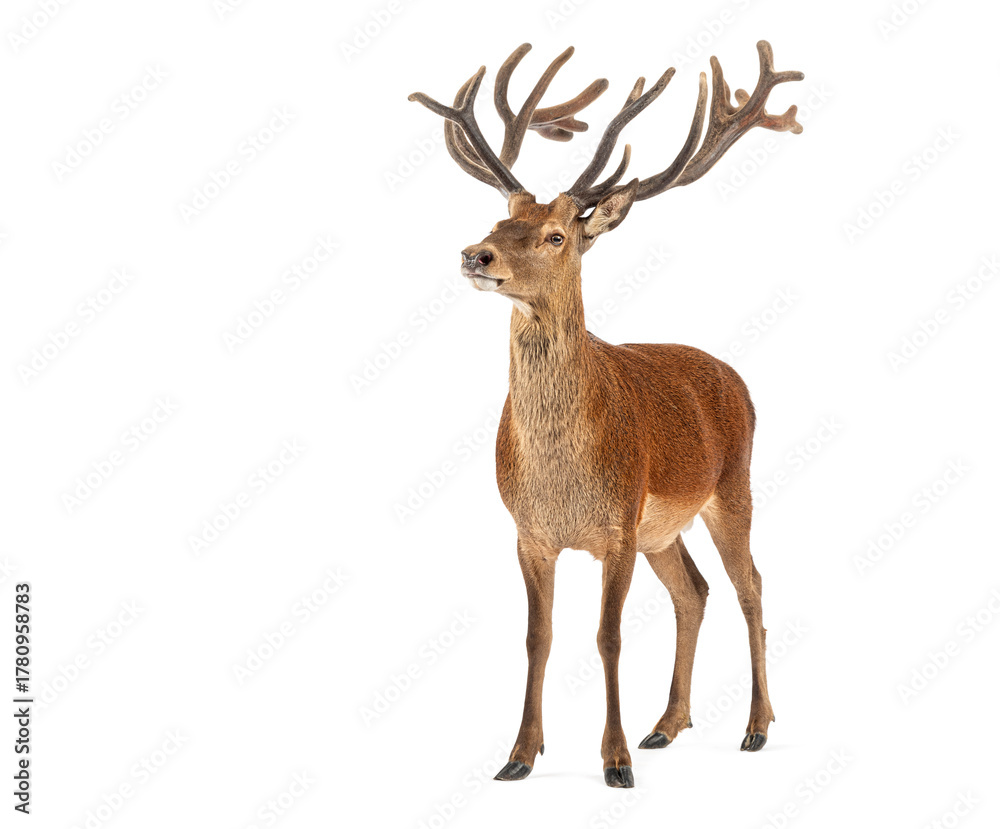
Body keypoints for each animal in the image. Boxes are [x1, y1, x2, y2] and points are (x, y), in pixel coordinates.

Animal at [409, 40, 804, 789]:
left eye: (556, 235)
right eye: (501, 220)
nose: (476, 253)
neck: (560, 472)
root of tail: (738, 377)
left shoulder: (617, 526)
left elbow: (608, 636)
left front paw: (614, 761)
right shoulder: (529, 532)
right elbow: (538, 636)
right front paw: (518, 755)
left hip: (731, 487)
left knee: (752, 586)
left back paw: (757, 726)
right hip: (662, 528)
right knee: (694, 591)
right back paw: (666, 724)